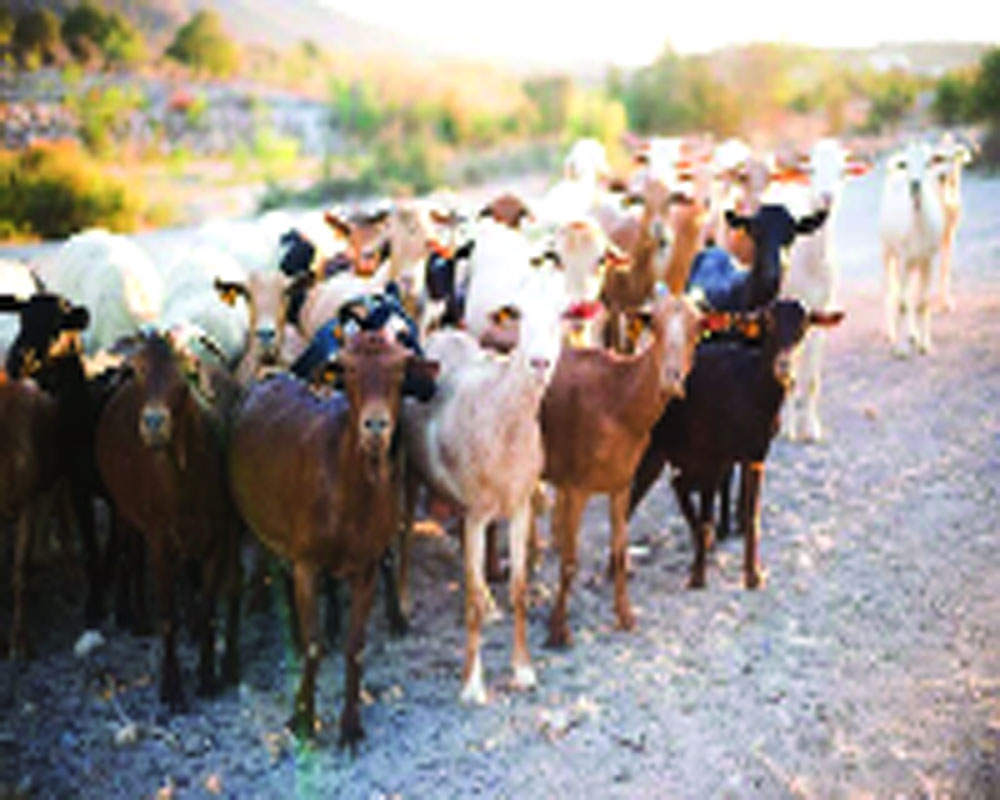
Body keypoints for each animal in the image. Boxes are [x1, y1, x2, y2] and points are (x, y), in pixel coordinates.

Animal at [95, 332, 242, 712]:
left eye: (185, 371)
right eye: (138, 370)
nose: (154, 423)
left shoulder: (218, 536)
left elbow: (208, 609)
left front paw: (207, 678)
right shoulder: (160, 540)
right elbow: (168, 619)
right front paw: (171, 689)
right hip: (125, 512)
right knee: (130, 557)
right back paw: (136, 617)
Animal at [230, 330, 438, 744]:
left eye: (399, 373)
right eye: (350, 372)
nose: (376, 426)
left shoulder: (365, 567)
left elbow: (355, 648)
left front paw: (351, 727)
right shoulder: (306, 561)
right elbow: (313, 647)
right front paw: (303, 719)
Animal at [402, 272, 568, 704]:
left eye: (563, 314)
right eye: (519, 313)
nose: (540, 362)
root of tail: (441, 331)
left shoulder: (520, 504)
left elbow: (519, 588)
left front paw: (523, 670)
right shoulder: (477, 512)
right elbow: (473, 598)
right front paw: (472, 684)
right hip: (409, 476)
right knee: (403, 539)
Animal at [884, 141, 944, 356]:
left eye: (928, 163)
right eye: (907, 164)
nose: (915, 184)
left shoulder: (929, 259)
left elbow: (923, 302)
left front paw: (925, 345)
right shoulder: (902, 258)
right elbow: (902, 303)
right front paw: (900, 350)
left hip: (916, 264)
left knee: (911, 294)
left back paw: (914, 335)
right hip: (887, 251)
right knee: (891, 291)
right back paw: (892, 334)